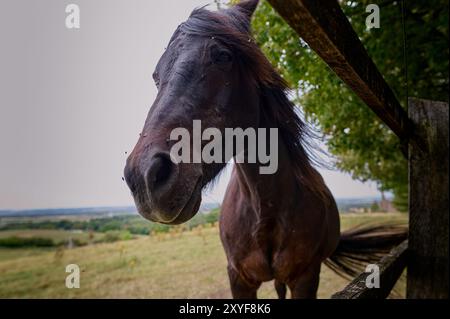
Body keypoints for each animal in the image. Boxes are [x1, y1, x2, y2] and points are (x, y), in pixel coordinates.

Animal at [124, 0, 408, 300]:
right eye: (156, 77)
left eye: (223, 56)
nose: (144, 177)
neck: (265, 209)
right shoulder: (239, 279)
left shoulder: (306, 278)